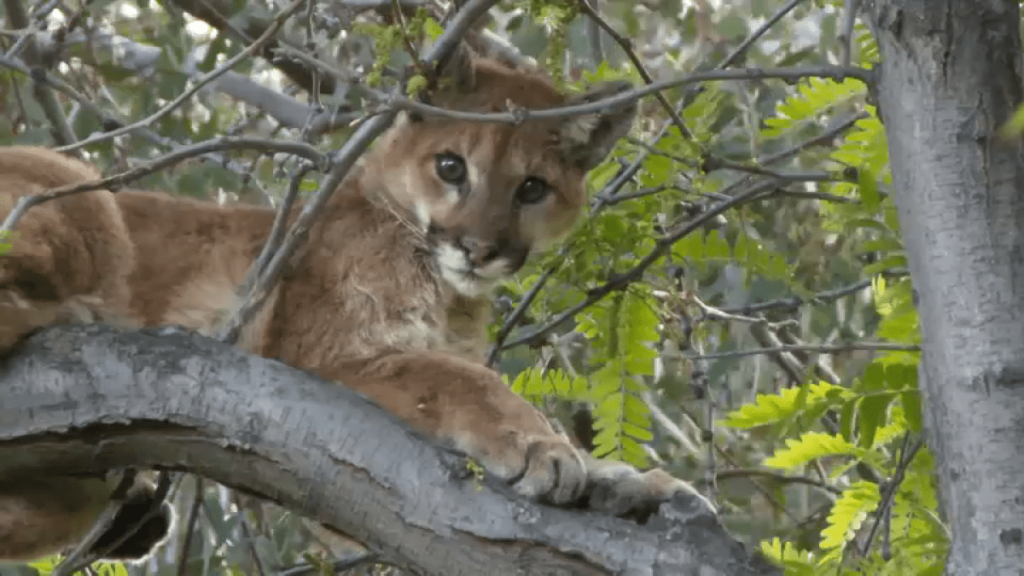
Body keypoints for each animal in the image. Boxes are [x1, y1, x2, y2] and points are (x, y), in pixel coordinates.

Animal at [0, 43, 713, 564]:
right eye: (451, 167)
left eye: (533, 189)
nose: (479, 249)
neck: (450, 293)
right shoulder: (331, 358)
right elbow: (462, 380)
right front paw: (544, 449)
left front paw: (624, 484)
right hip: (81, 188)